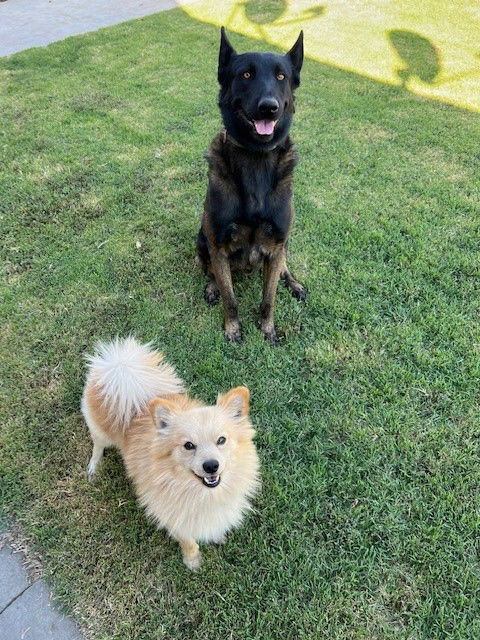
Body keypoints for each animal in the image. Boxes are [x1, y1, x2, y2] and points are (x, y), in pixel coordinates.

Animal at [81, 338, 260, 568]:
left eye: (221, 440)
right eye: (188, 445)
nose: (211, 465)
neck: (201, 494)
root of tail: (120, 365)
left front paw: (217, 536)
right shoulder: (174, 517)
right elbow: (189, 542)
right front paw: (192, 561)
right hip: (100, 431)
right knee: (97, 445)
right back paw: (94, 467)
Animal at [197, 27, 306, 342]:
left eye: (281, 76)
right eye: (246, 75)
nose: (268, 108)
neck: (256, 158)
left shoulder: (277, 244)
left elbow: (269, 298)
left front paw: (267, 329)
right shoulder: (218, 245)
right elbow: (229, 297)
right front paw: (232, 328)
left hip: (285, 245)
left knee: (284, 267)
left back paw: (294, 283)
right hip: (201, 240)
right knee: (211, 271)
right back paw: (211, 287)